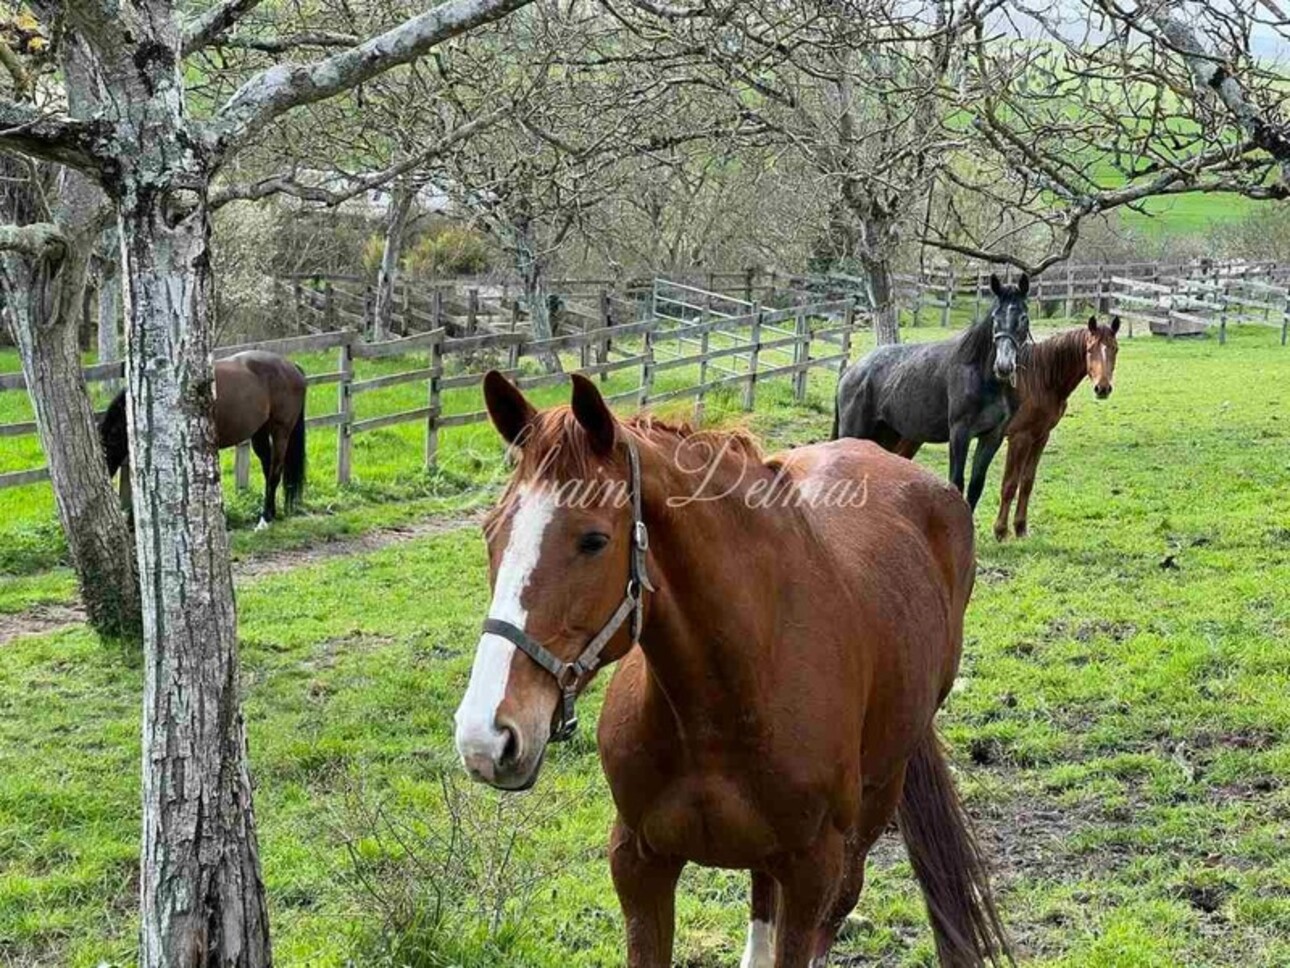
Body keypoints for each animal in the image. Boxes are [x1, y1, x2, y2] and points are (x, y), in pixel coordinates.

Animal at [100, 351, 307, 531]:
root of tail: (292, 367)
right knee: (267, 469)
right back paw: (270, 514)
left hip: (281, 432)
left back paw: (264, 520)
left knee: (275, 473)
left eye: (109, 444)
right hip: (260, 432)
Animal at [451, 374, 1006, 968]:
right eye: (491, 531)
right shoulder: (638, 862)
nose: (485, 737)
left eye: (594, 540)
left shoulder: (813, 872)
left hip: (875, 803)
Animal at [830, 273, 1032, 511]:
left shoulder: (992, 436)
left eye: (1024, 318)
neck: (982, 376)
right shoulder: (960, 433)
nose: (1003, 366)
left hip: (884, 434)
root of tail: (850, 371)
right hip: (854, 432)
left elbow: (975, 486)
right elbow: (956, 483)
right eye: (995, 318)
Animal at [990, 320, 1124, 542]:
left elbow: (1027, 482)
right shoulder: (1019, 439)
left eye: (1115, 348)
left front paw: (1020, 528)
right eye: (1089, 349)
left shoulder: (1040, 437)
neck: (1038, 380)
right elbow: (1009, 484)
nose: (1103, 388)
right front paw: (1000, 531)